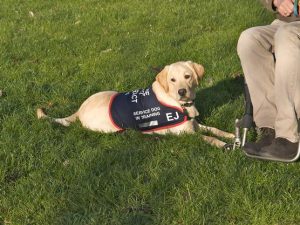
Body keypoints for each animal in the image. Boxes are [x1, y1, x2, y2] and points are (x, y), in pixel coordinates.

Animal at [37, 60, 234, 147]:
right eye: (172, 80)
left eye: (187, 76)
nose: (182, 91)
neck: (181, 106)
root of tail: (80, 109)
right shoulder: (186, 134)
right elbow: (208, 137)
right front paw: (221, 144)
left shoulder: (194, 124)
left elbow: (214, 129)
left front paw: (230, 135)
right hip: (109, 127)